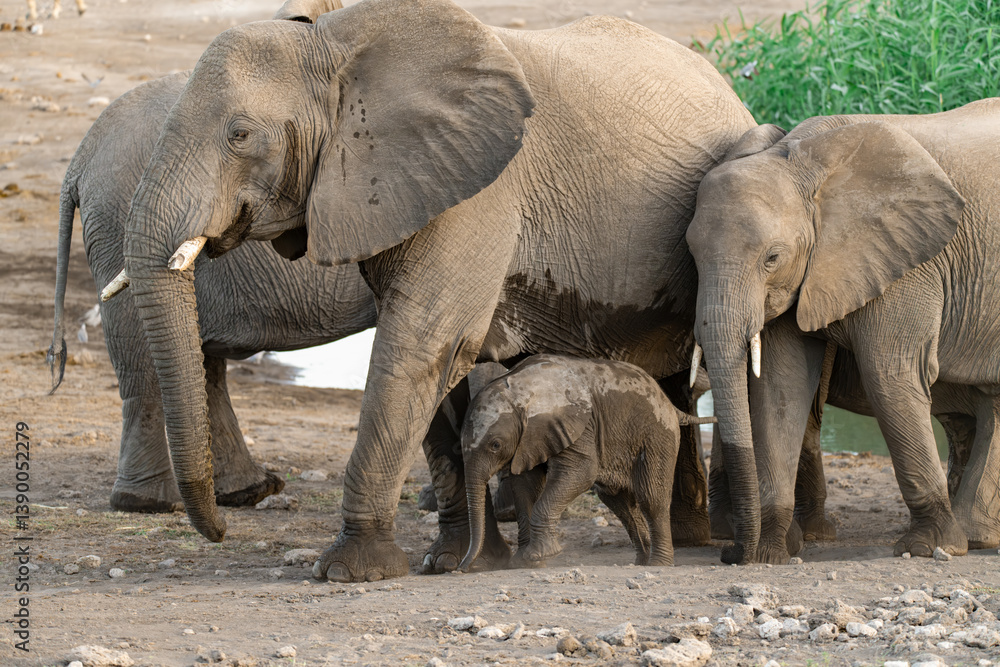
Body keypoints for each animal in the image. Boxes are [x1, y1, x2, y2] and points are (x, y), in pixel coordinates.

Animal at [47, 0, 369, 513]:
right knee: (143, 365)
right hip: (115, 217)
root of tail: (79, 157)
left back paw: (246, 492)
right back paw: (149, 503)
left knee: (200, 361)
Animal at [458, 355, 716, 570]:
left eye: (495, 445)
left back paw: (658, 565)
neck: (519, 387)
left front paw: (540, 556)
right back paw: (641, 562)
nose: (462, 567)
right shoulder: (528, 438)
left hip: (658, 434)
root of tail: (670, 405)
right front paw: (523, 562)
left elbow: (581, 473)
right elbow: (524, 484)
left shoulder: (578, 425)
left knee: (651, 498)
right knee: (619, 502)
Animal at [686, 99, 1000, 564]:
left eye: (772, 258)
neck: (800, 159)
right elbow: (780, 385)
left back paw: (971, 537)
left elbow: (889, 374)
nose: (730, 556)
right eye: (690, 253)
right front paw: (770, 554)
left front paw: (929, 547)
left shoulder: (911, 261)